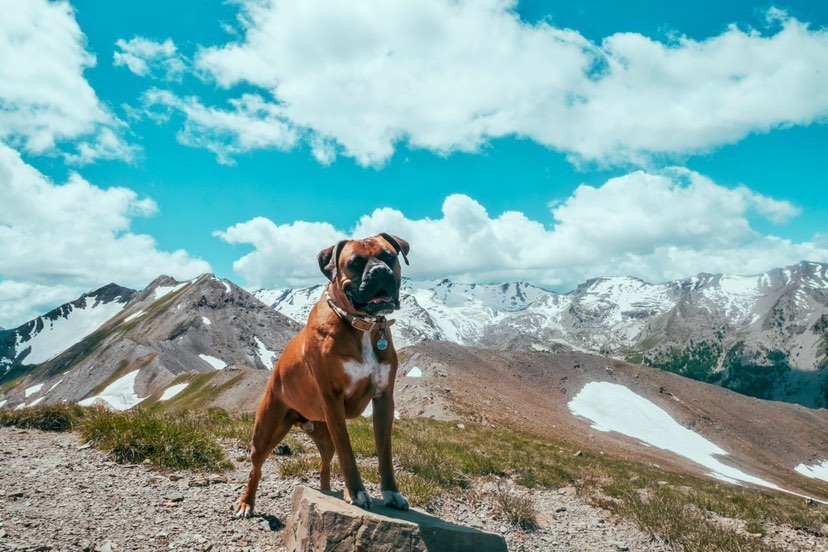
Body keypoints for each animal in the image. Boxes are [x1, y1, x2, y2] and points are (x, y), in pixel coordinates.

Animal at [234, 231, 410, 516]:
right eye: (354, 263)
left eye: (389, 256)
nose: (380, 272)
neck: (360, 325)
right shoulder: (333, 400)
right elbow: (348, 452)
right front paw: (357, 493)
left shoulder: (384, 400)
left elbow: (385, 452)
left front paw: (391, 493)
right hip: (266, 433)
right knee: (256, 469)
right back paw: (246, 503)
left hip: (324, 435)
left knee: (324, 464)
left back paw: (330, 492)